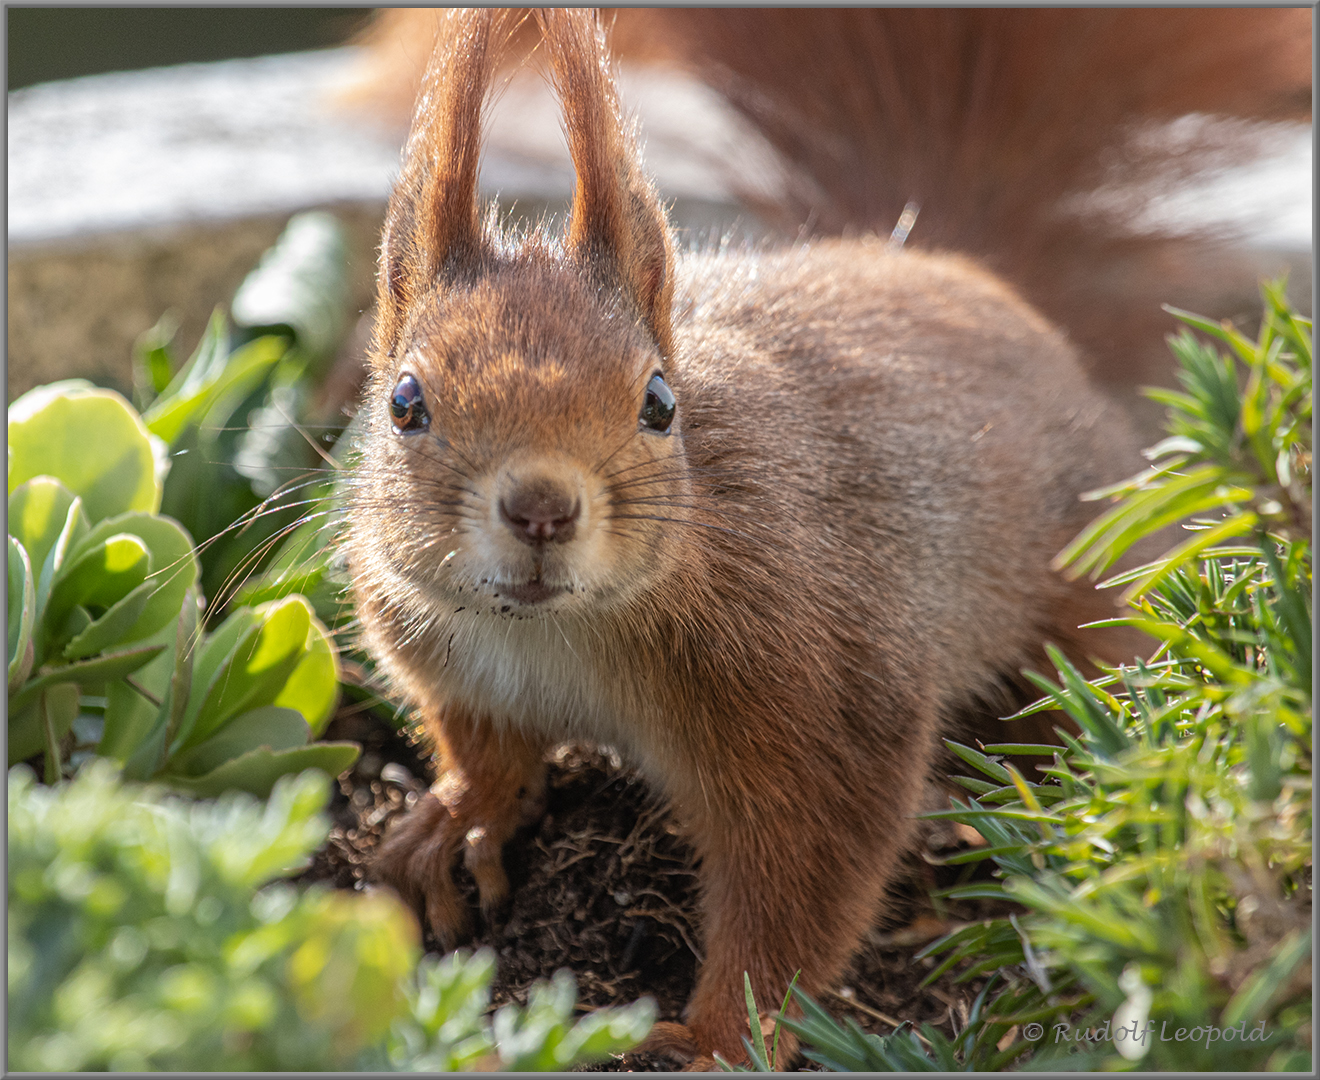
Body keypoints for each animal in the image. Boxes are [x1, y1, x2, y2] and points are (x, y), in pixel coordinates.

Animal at [343, 6, 1298, 1061]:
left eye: (659, 403)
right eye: (403, 403)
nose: (542, 509)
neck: (560, 632)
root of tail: (946, 265)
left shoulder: (823, 699)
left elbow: (799, 886)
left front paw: (718, 1039)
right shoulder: (452, 659)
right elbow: (484, 749)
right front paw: (459, 817)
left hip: (1079, 611)